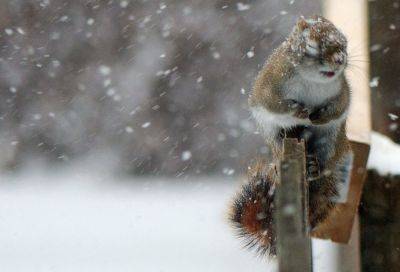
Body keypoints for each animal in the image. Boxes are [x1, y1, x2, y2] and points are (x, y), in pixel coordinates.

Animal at [230, 15, 352, 256]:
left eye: (344, 44)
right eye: (312, 46)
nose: (339, 59)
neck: (313, 81)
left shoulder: (342, 90)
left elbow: (339, 106)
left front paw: (319, 115)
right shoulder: (270, 86)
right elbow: (275, 104)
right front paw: (299, 111)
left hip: (331, 140)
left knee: (324, 162)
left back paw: (314, 167)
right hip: (274, 135)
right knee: (280, 145)